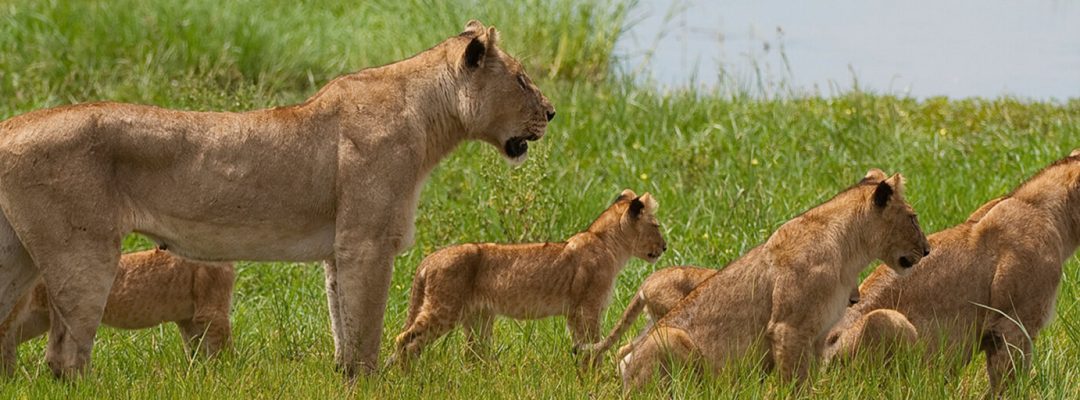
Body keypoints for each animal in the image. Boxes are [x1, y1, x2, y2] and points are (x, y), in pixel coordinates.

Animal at [0, 249, 234, 375]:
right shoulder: (212, 311)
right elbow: (222, 349)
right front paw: (224, 373)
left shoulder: (188, 318)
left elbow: (196, 348)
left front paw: (199, 372)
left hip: (36, 320)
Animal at [388, 190, 666, 368]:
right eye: (656, 226)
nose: (665, 247)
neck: (607, 242)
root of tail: (427, 260)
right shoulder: (587, 307)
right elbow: (593, 342)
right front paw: (594, 373)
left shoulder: (574, 312)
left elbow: (581, 344)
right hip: (444, 310)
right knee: (405, 340)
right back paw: (408, 378)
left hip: (477, 317)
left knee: (472, 355)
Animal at [618, 170, 931, 392]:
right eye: (913, 218)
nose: (927, 250)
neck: (850, 254)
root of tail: (626, 376)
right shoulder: (788, 328)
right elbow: (793, 384)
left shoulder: (818, 335)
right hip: (670, 337)